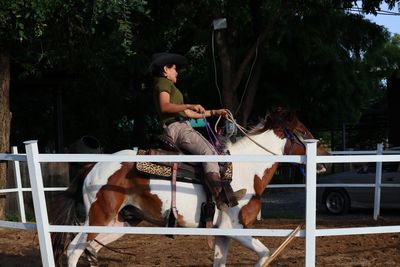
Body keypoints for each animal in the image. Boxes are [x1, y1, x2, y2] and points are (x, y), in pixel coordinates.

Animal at [50, 110, 328, 266]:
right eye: (303, 131)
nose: (325, 159)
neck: (247, 169)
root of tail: (93, 166)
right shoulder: (236, 229)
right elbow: (264, 253)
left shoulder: (223, 235)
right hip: (98, 217)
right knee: (73, 251)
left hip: (119, 222)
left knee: (90, 250)